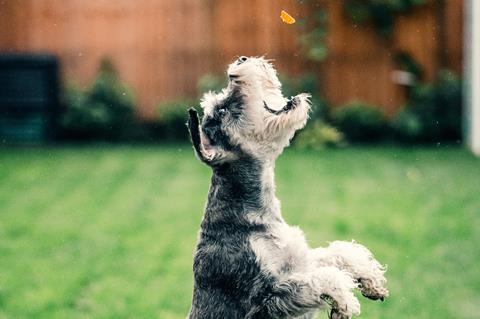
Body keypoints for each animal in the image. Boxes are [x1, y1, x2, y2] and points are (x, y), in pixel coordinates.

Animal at [186, 56, 388, 318]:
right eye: (221, 110)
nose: (241, 60)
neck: (256, 214)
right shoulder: (265, 300)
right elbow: (319, 278)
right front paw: (345, 300)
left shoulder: (301, 261)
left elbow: (337, 253)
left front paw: (371, 279)